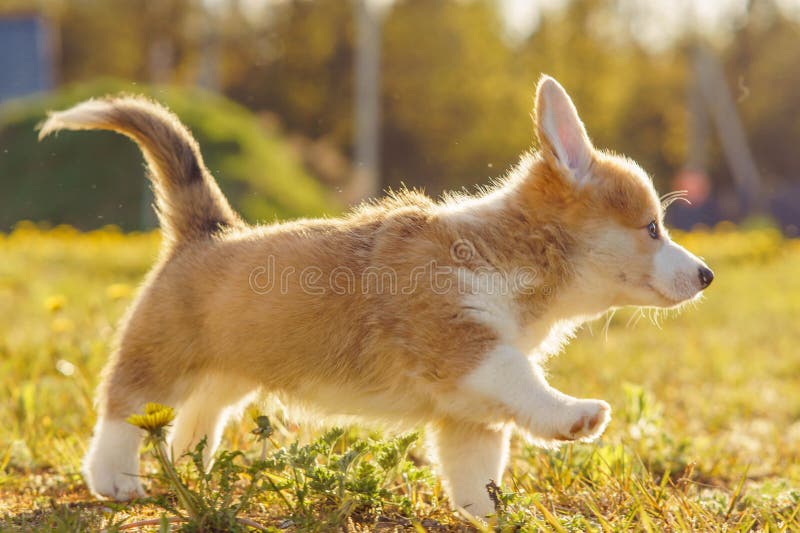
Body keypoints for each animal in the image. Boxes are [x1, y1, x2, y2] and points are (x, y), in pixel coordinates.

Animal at [39, 76, 712, 516]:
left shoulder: (467, 412)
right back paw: (114, 481)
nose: (707, 276)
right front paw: (574, 415)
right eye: (652, 229)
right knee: (122, 411)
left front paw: (488, 514)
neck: (509, 252)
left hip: (225, 377)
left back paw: (192, 478)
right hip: (159, 358)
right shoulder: (465, 346)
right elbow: (525, 382)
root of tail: (206, 230)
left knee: (192, 424)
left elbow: (477, 471)